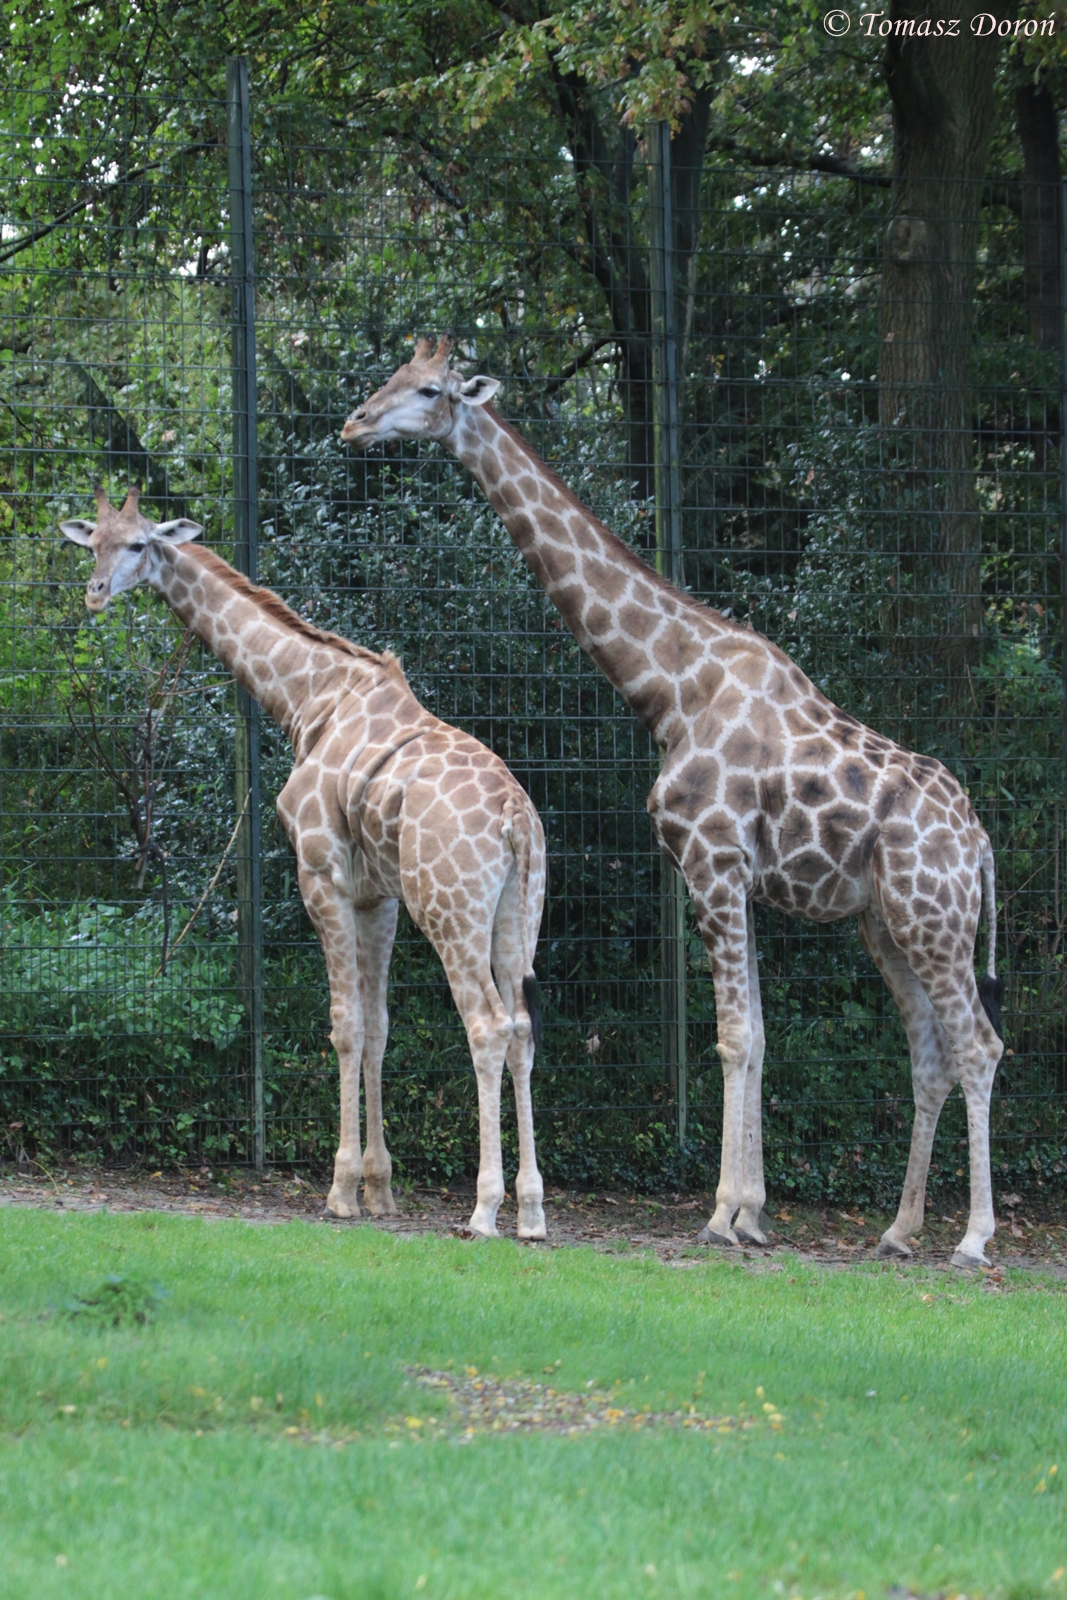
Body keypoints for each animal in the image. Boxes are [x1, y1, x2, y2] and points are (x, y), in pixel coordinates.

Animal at [61, 485, 548, 1240]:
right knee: (523, 1027)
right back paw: (531, 1210)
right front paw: (381, 1189)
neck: (308, 698)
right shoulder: (377, 895)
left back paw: (485, 1207)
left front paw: (341, 1190)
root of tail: (515, 821)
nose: (95, 594)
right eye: (93, 544)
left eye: (139, 543)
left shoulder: (321, 875)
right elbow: (377, 1028)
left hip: (450, 908)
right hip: (517, 911)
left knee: (488, 1025)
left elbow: (343, 1027)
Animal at [342, 336, 1006, 1269]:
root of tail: (979, 844)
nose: (355, 423)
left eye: (430, 390)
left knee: (978, 1043)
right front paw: (753, 1213)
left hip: (930, 916)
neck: (670, 686)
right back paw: (900, 1230)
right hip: (889, 922)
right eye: (394, 379)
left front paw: (722, 1214)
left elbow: (735, 1036)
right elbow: (756, 1034)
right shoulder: (737, 879)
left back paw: (973, 1237)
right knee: (931, 1052)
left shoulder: (711, 862)